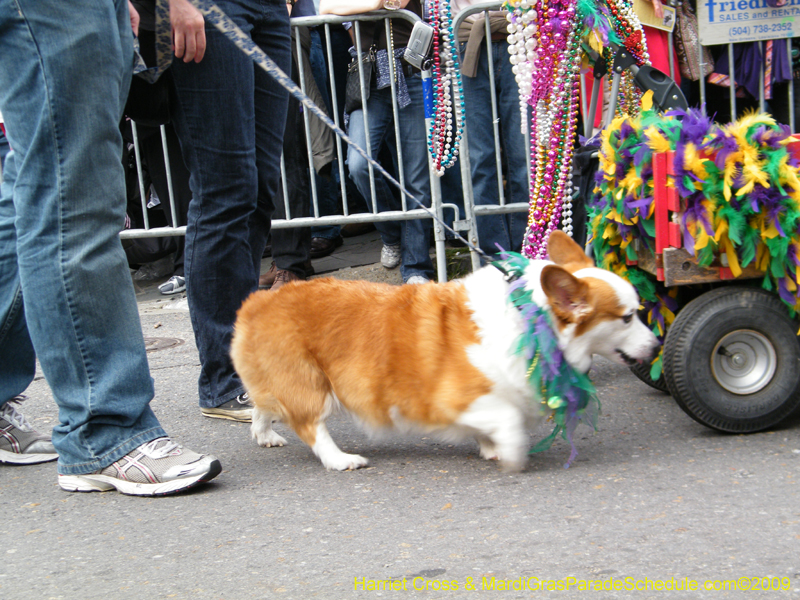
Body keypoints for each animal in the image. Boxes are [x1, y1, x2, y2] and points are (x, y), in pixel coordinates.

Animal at [228, 232, 660, 472]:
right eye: (627, 318)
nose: (657, 346)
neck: (532, 321)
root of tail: (257, 302)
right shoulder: (450, 399)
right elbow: (506, 418)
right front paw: (510, 451)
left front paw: (491, 448)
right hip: (310, 384)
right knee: (310, 426)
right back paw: (342, 460)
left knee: (264, 406)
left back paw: (265, 436)